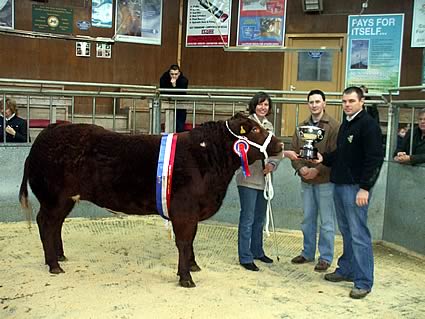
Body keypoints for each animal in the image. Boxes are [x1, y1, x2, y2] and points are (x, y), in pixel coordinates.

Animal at [20, 114, 284, 288]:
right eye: (254, 131)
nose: (281, 144)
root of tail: (49, 131)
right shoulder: (184, 211)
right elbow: (184, 242)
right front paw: (186, 277)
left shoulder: (191, 212)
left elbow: (190, 241)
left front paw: (193, 265)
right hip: (53, 198)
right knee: (45, 223)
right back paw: (54, 264)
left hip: (65, 199)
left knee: (56, 225)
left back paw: (60, 256)